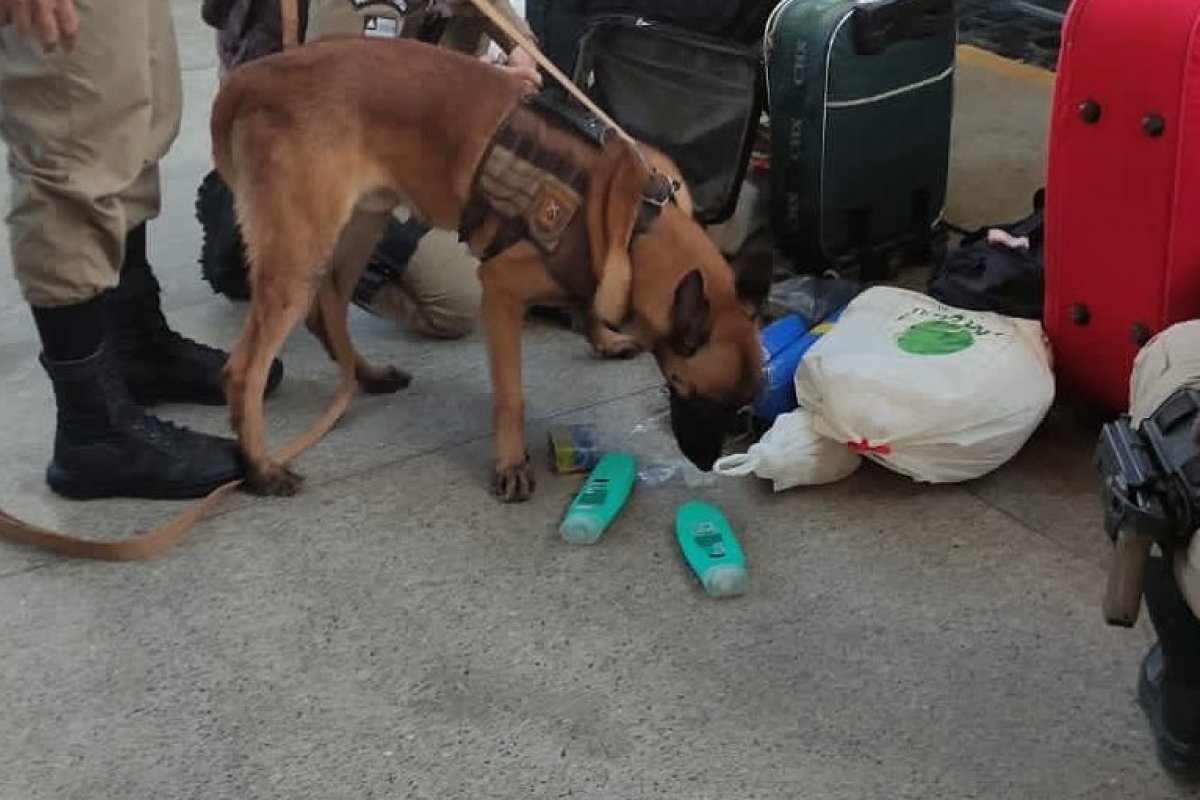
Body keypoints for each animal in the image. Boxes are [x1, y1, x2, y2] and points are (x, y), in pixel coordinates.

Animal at [211, 37, 763, 503]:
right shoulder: (500, 293)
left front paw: (602, 337)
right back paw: (260, 467)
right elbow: (511, 396)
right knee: (245, 369)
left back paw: (364, 374)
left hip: (358, 228)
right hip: (301, 256)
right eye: (693, 395)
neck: (634, 222)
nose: (707, 464)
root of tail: (255, 77)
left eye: (741, 409)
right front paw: (510, 462)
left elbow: (588, 302)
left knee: (327, 313)